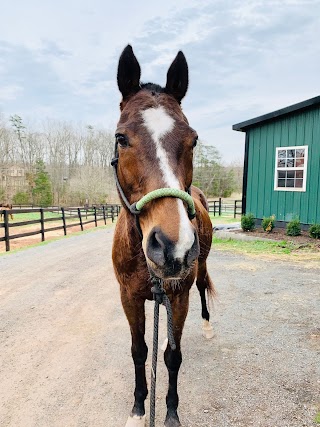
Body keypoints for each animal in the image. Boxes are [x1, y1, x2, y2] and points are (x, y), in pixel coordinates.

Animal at [112, 46, 215, 427]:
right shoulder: (128, 297)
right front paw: (139, 408)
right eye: (121, 138)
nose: (173, 247)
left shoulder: (179, 296)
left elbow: (172, 355)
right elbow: (139, 351)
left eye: (193, 140)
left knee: (202, 287)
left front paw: (170, 412)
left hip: (200, 268)